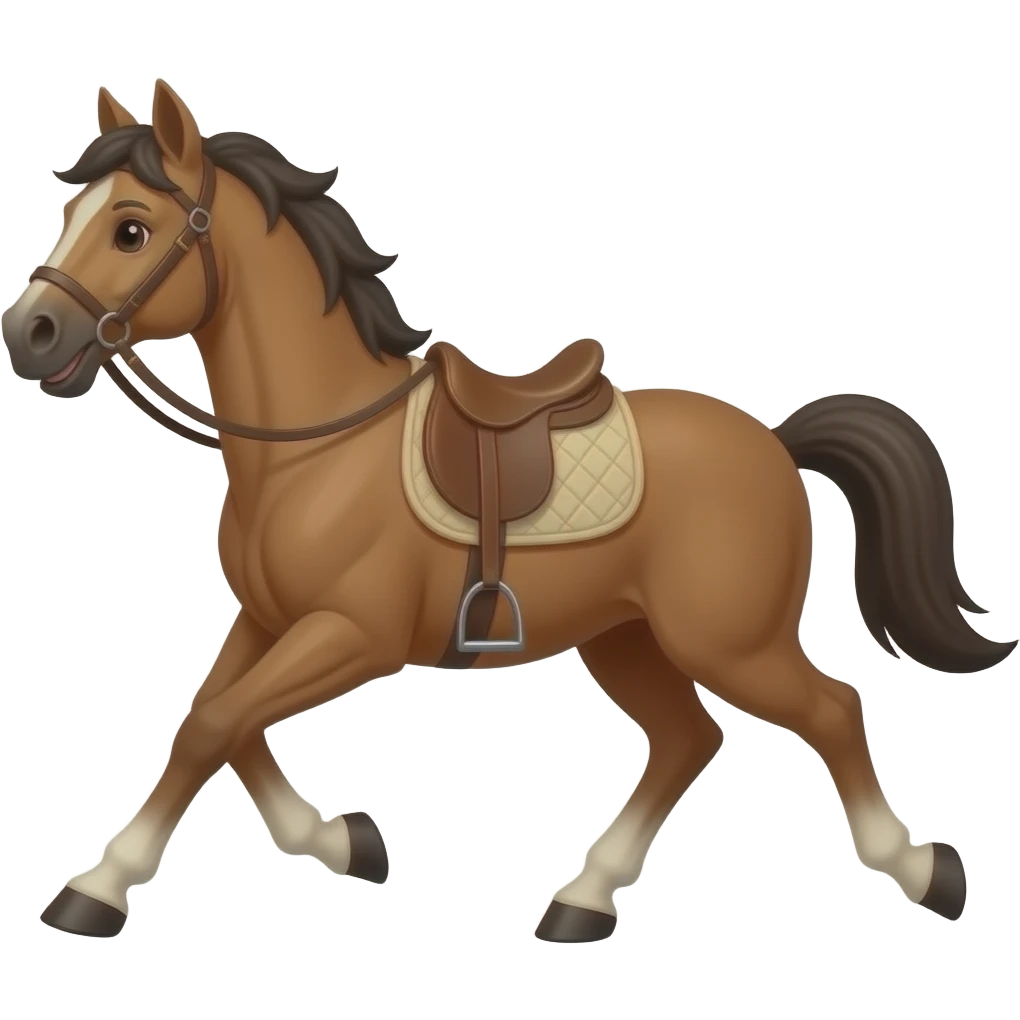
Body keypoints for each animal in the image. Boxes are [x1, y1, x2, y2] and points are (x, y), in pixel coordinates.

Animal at [3, 80, 1011, 942]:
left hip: (727, 641)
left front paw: (98, 890)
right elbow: (220, 722)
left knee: (833, 709)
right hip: (625, 637)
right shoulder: (268, 622)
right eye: (69, 216)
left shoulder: (349, 635)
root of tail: (774, 442)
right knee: (688, 740)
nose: (29, 334)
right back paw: (582, 900)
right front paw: (342, 841)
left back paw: (926, 870)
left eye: (131, 230)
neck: (317, 451)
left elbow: (217, 727)